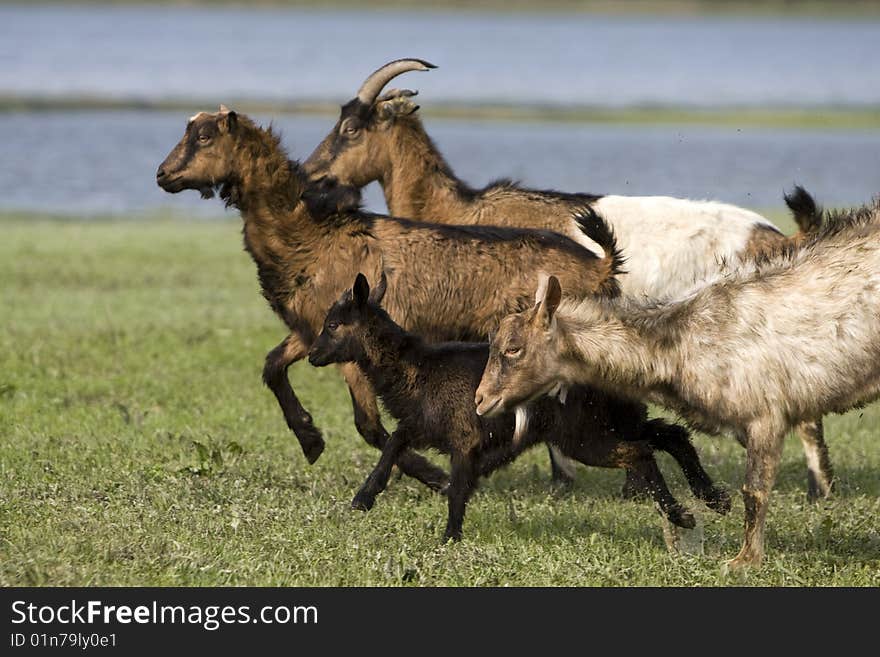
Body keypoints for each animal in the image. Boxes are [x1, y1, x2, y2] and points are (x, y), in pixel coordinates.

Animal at [153, 107, 708, 498]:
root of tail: (601, 265)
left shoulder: (353, 343)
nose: (161, 175)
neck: (309, 234)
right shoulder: (314, 331)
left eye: (204, 136)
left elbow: (370, 424)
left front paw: (435, 477)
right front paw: (311, 440)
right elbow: (272, 367)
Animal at [302, 59, 832, 498]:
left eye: (350, 127)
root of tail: (783, 237)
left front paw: (564, 475)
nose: (309, 179)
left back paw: (817, 487)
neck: (464, 210)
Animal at [478, 202, 880, 568]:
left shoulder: (765, 415)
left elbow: (754, 490)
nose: (482, 400)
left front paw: (744, 560)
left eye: (513, 348)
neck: (679, 344)